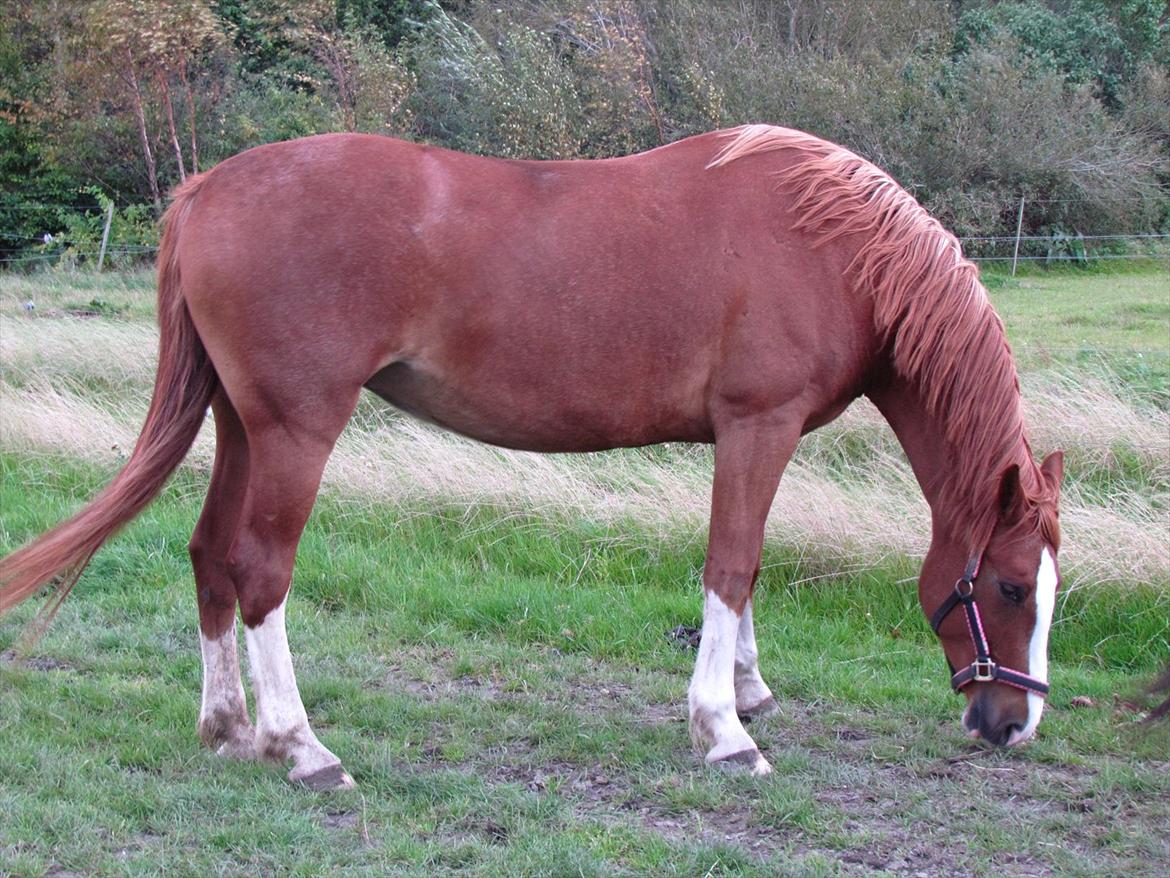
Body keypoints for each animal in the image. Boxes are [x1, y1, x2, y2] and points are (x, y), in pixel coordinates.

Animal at [0, 124, 1062, 791]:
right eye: (1011, 588)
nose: (1013, 726)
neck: (832, 248)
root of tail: (204, 189)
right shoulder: (758, 425)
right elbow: (733, 565)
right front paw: (723, 731)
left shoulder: (757, 437)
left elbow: (742, 570)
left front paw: (750, 693)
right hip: (296, 432)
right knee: (261, 571)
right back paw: (301, 747)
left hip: (239, 426)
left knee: (210, 555)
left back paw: (227, 729)